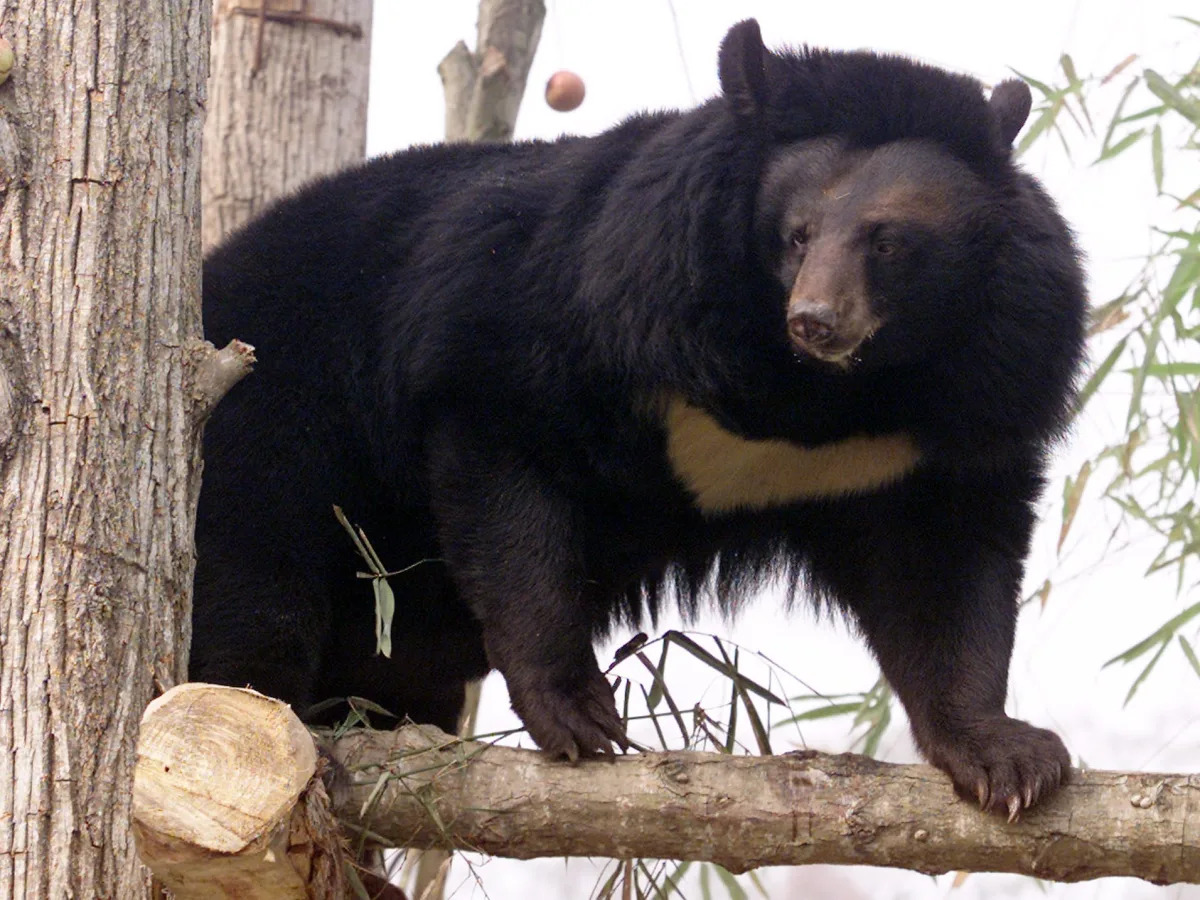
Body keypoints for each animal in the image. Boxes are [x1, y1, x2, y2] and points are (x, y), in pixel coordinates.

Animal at [192, 19, 1087, 819]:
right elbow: (511, 490)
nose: (816, 321)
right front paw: (581, 715)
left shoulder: (945, 422)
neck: (813, 394)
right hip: (273, 419)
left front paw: (1010, 760)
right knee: (250, 587)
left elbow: (943, 571)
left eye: (889, 242)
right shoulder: (558, 315)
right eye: (795, 236)